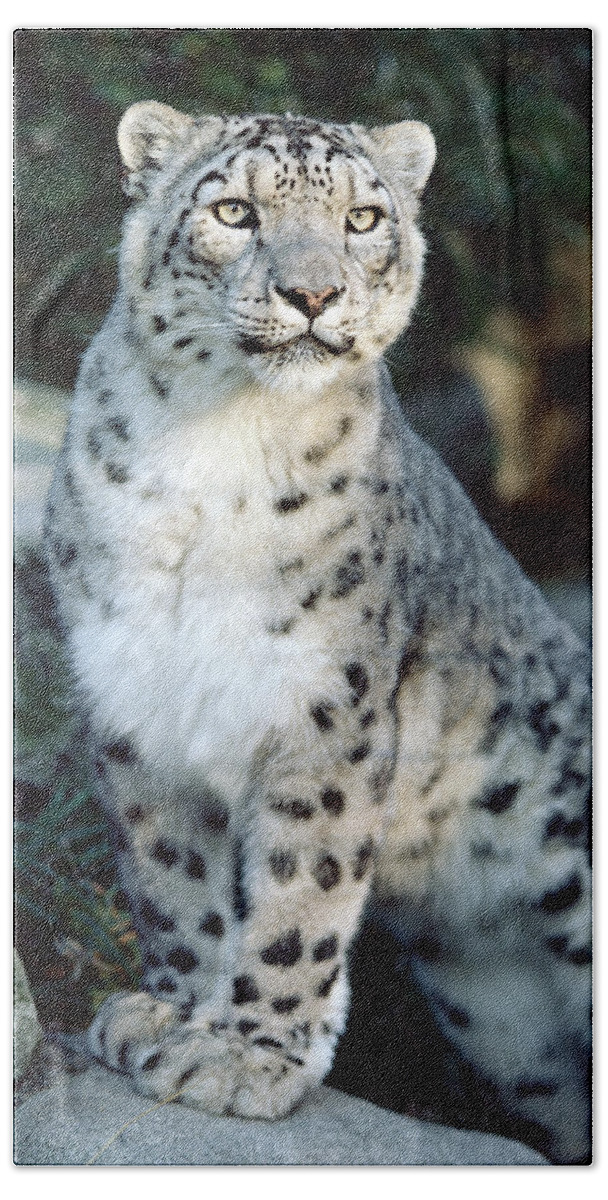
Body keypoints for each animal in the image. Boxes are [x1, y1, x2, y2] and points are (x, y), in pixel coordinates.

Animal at [44, 103, 594, 1161]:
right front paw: (178, 1012)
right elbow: (170, 878)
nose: (312, 292)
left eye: (364, 218)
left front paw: (248, 1057)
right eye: (234, 210)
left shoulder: (325, 709)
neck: (213, 445)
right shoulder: (135, 703)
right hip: (503, 1018)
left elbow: (301, 890)